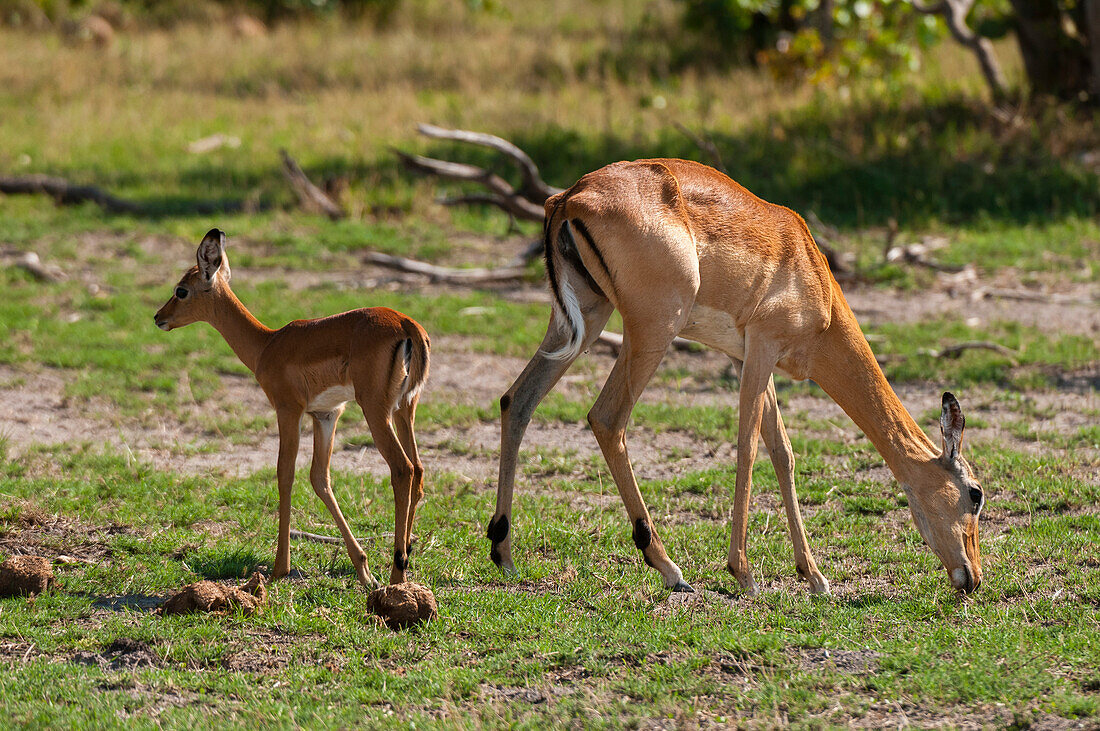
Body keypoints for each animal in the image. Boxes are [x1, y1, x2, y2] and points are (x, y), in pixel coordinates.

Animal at [157, 228, 431, 589]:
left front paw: (279, 568)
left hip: (376, 412)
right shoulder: (327, 414)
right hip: (404, 409)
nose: (159, 317)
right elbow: (319, 478)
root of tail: (406, 323)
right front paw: (363, 568)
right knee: (419, 470)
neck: (267, 344)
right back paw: (405, 558)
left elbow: (284, 473)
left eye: (181, 290)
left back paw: (397, 575)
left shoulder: (288, 410)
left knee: (403, 469)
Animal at [492, 158, 990, 593]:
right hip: (652, 331)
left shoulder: (743, 357)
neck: (813, 277)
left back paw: (505, 555)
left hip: (582, 322)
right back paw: (669, 569)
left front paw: (815, 577)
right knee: (607, 418)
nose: (972, 578)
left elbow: (783, 453)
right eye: (975, 494)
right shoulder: (763, 350)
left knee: (517, 399)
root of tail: (570, 197)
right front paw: (744, 574)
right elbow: (749, 449)